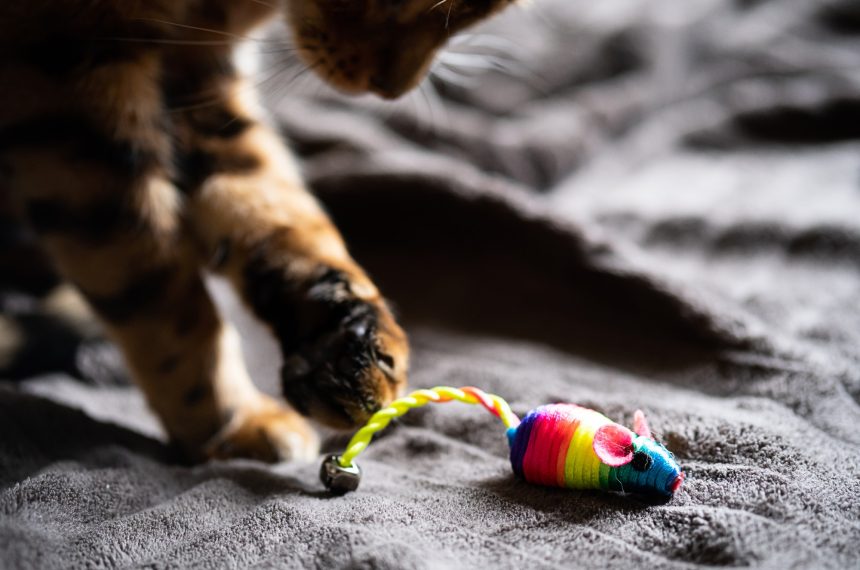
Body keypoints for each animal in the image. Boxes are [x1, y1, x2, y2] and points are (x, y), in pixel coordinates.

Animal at [0, 0, 512, 462]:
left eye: (474, 17)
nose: (390, 91)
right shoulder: (70, 87)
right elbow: (158, 291)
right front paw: (231, 421)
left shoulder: (200, 79)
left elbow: (280, 214)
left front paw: (345, 340)